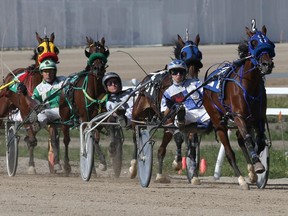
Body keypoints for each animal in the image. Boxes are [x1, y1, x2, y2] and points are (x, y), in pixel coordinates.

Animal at [0, 32, 59, 174]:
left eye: (55, 49)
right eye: (40, 49)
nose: (49, 61)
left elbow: (52, 138)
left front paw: (57, 164)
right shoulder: (25, 112)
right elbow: (31, 140)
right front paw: (31, 167)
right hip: (3, 106)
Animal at [58, 36, 109, 174]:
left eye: (102, 52)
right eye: (90, 53)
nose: (98, 69)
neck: (95, 90)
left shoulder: (100, 117)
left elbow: (95, 139)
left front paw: (101, 162)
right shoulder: (85, 116)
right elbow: (87, 136)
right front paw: (91, 167)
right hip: (65, 116)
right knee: (66, 139)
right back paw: (67, 166)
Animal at [131, 33, 205, 184]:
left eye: (199, 53)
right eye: (184, 54)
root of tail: (146, 79)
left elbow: (190, 141)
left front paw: (193, 174)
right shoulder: (169, 117)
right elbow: (179, 137)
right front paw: (177, 163)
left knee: (161, 149)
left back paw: (160, 175)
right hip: (138, 113)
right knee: (136, 136)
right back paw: (134, 166)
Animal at [202, 24, 274, 189]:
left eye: (269, 42)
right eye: (254, 42)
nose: (267, 64)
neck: (250, 85)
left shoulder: (258, 118)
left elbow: (259, 141)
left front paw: (256, 166)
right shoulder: (239, 116)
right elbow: (248, 139)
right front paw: (257, 166)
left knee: (240, 139)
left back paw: (251, 174)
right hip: (219, 122)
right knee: (230, 151)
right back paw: (242, 180)